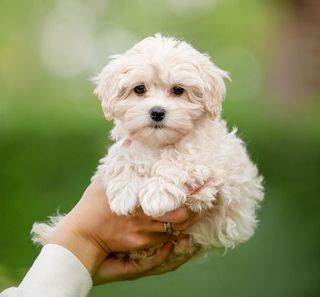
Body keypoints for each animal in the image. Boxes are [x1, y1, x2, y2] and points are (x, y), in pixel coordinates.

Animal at [32, 33, 264, 256]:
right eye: (139, 89)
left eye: (178, 90)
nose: (157, 112)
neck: (157, 144)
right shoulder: (124, 147)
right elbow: (121, 158)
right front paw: (123, 192)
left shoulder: (210, 161)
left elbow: (178, 160)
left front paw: (157, 194)